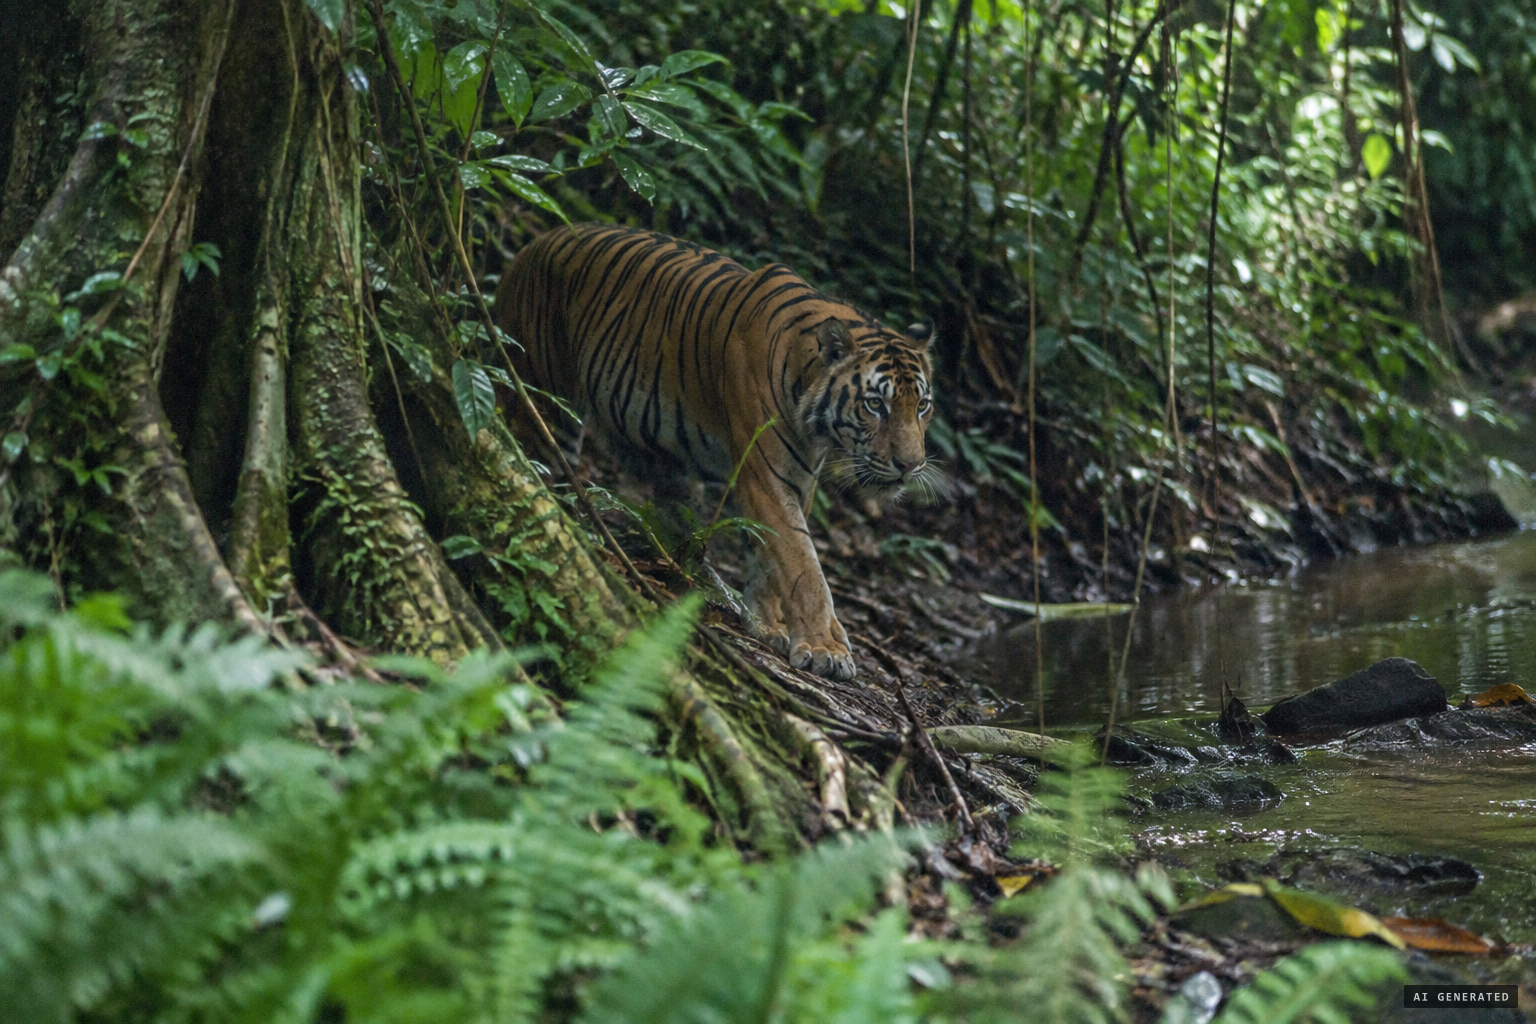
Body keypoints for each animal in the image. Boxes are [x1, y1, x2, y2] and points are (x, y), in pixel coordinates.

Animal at [492, 224, 936, 681]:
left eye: (922, 405)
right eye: (875, 404)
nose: (911, 465)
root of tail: (530, 246)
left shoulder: (797, 477)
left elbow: (767, 556)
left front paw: (768, 625)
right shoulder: (766, 474)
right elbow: (802, 565)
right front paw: (826, 648)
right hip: (543, 404)